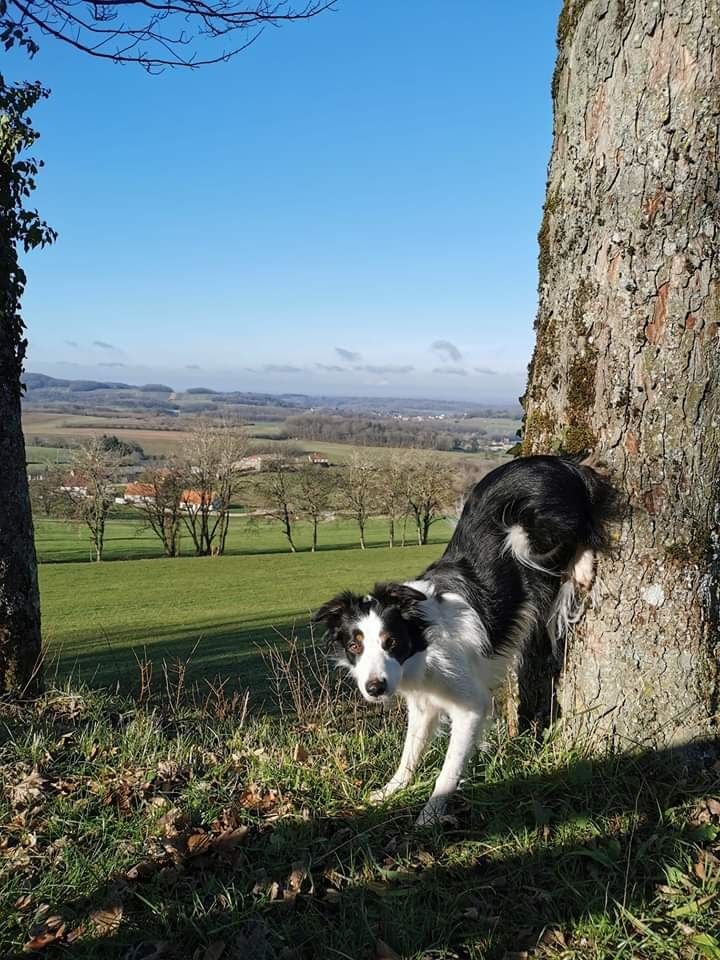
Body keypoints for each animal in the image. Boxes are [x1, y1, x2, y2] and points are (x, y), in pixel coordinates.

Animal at [312, 456, 616, 824]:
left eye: (391, 641)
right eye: (355, 645)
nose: (375, 688)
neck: (424, 648)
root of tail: (555, 461)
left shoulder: (471, 706)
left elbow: (449, 769)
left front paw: (430, 814)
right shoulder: (423, 704)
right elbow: (409, 753)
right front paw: (390, 791)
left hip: (530, 530)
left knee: (585, 523)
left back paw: (583, 565)